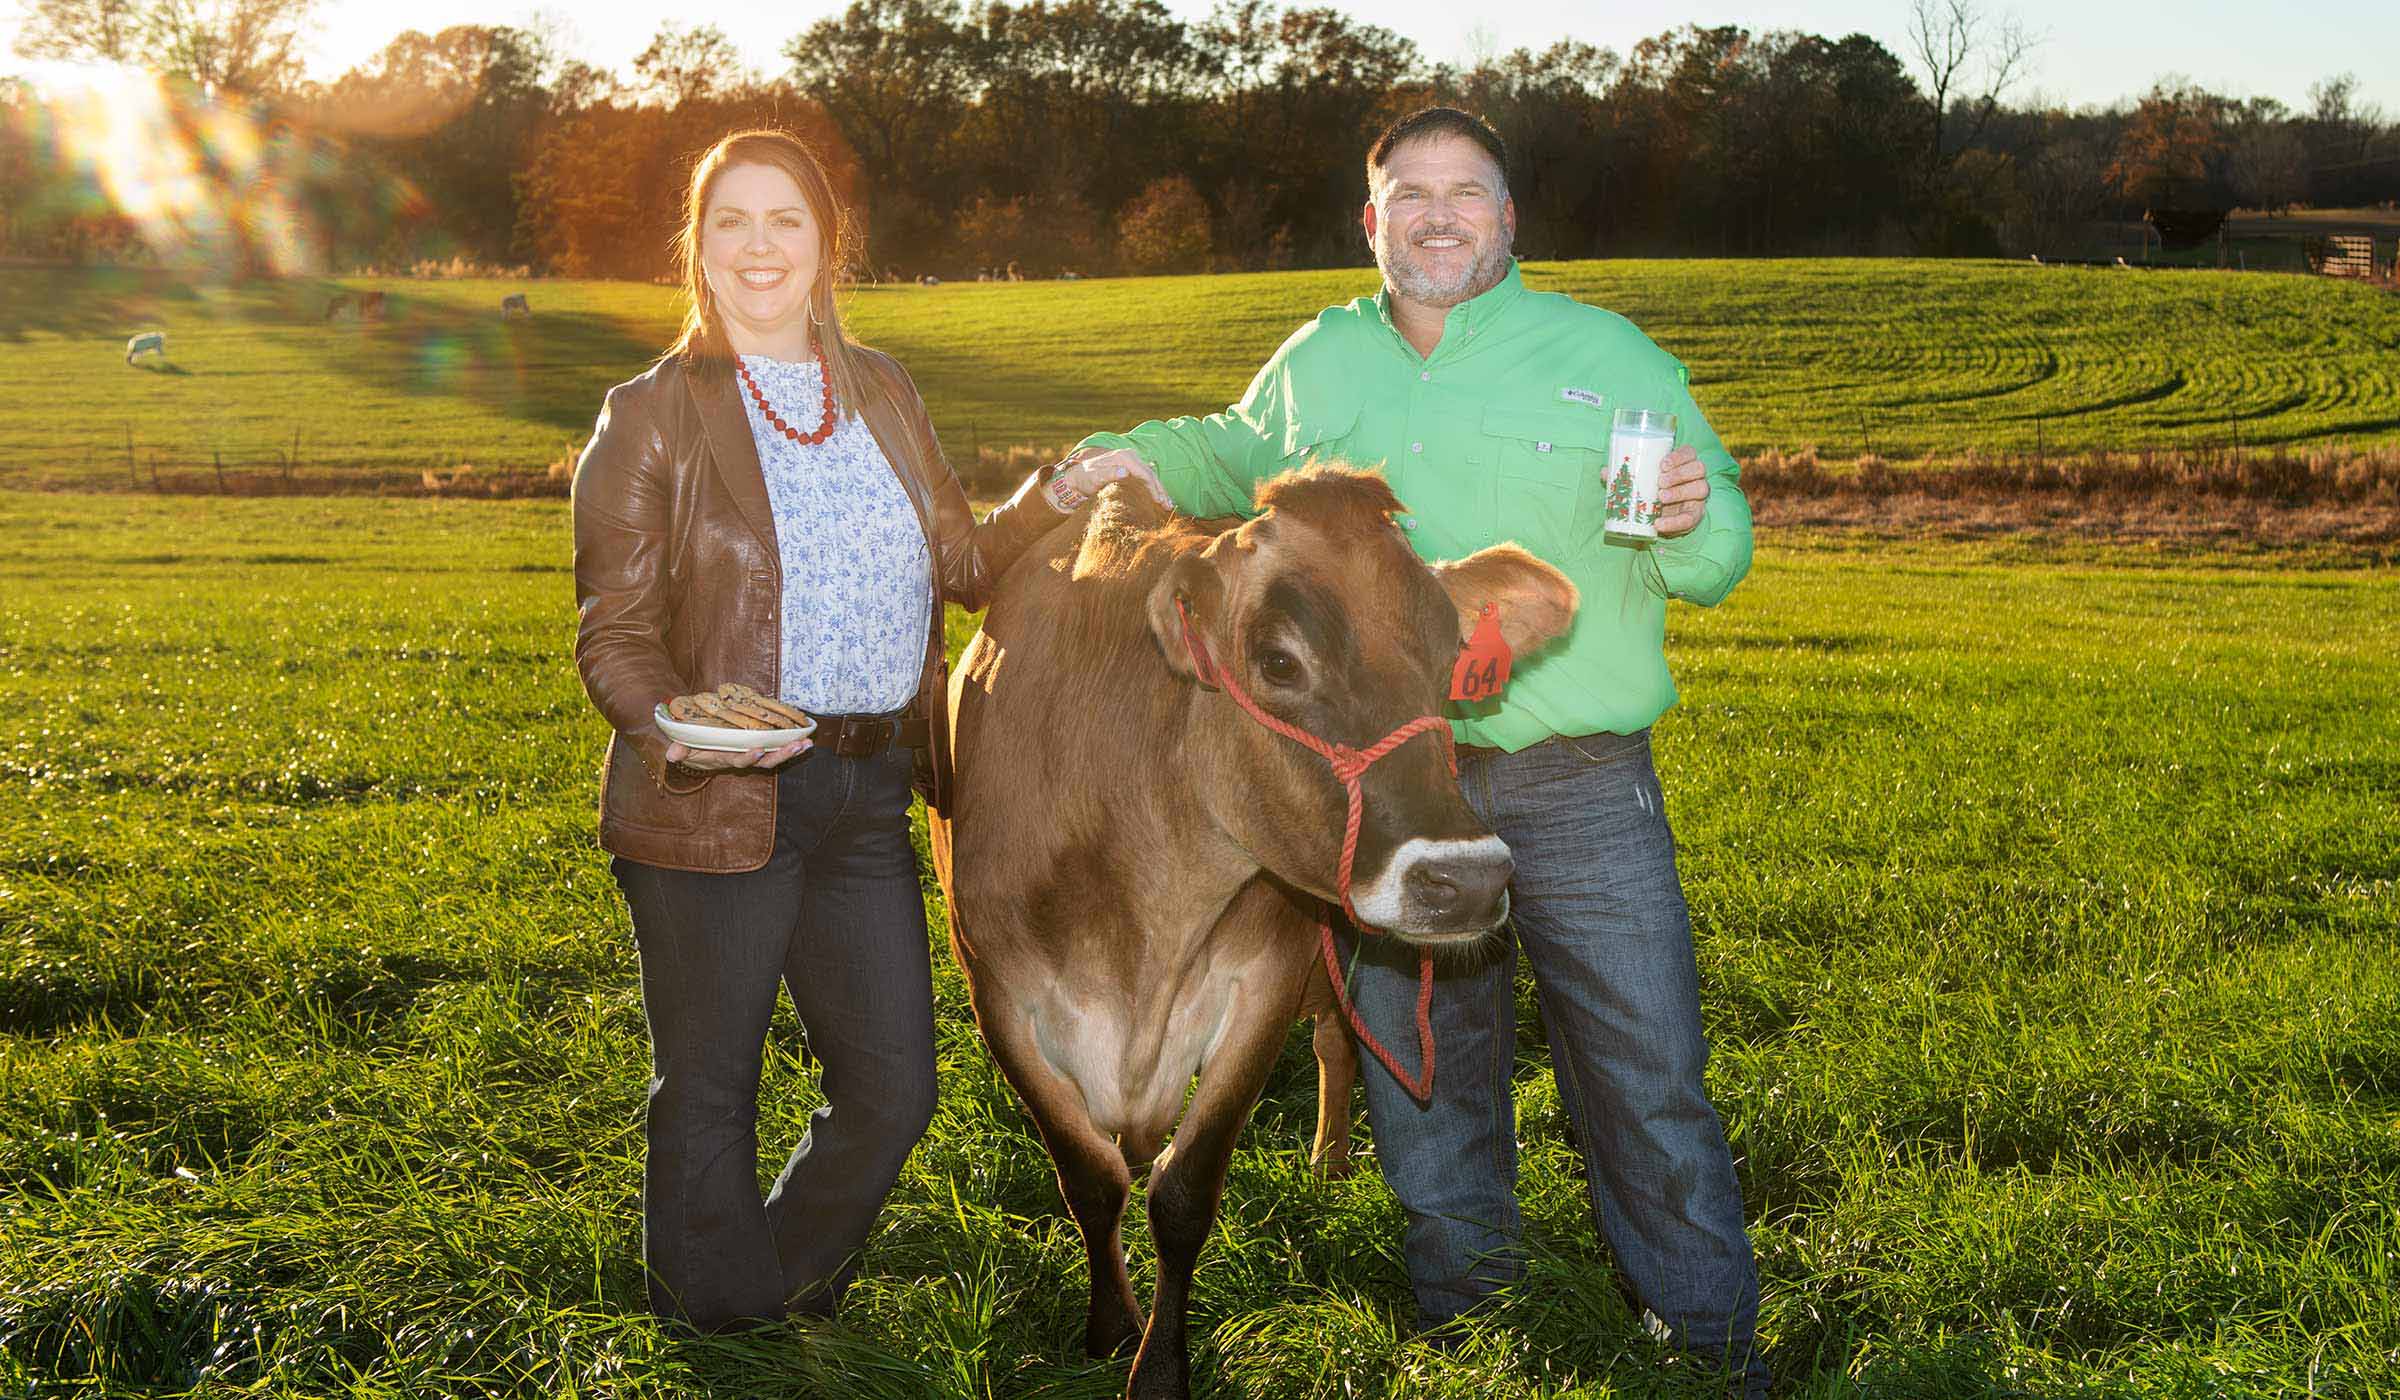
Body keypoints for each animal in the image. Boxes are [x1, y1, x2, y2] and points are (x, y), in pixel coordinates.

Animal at [931, 465, 1574, 1392]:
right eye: (1278, 660)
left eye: (1453, 656)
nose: (1470, 879)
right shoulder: (997, 997)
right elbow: (1089, 1179)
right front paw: (1110, 1330)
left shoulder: (1264, 984)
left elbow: (1184, 1190)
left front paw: (1160, 1368)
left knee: (1337, 1042)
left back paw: (1328, 1164)